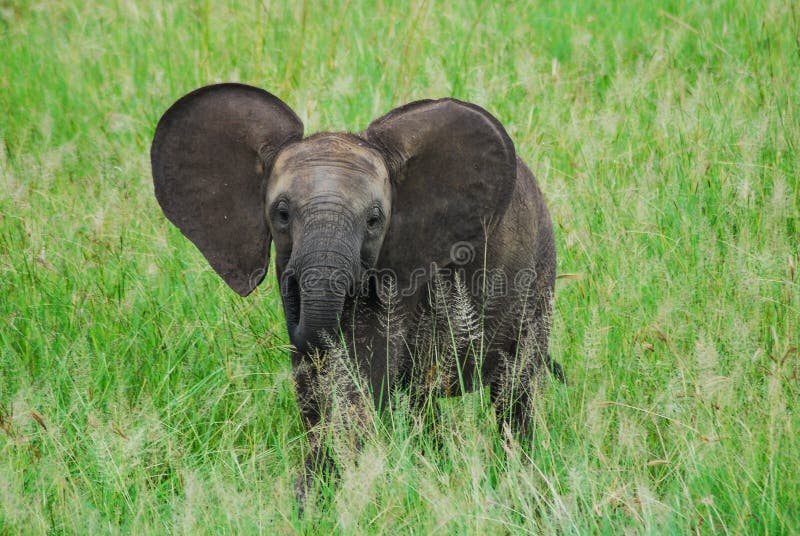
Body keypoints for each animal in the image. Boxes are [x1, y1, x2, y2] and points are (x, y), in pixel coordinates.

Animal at [151, 83, 563, 501]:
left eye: (374, 220)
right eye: (281, 214)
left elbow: (363, 378)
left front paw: (323, 492)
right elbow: (313, 380)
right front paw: (312, 495)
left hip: (538, 282)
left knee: (514, 391)